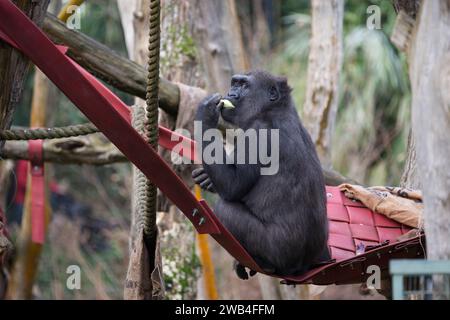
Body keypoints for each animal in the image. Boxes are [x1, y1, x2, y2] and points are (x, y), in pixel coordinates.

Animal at [192, 70, 328, 280]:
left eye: (244, 85)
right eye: (234, 83)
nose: (230, 93)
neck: (272, 109)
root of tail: (302, 268)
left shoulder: (258, 132)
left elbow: (232, 186)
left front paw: (205, 113)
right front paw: (207, 179)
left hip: (279, 254)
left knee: (225, 209)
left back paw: (263, 263)